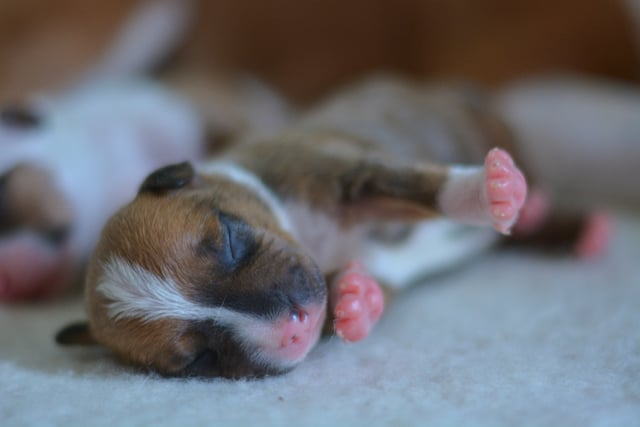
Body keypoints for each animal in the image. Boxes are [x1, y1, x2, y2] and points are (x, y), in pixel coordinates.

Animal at [55, 76, 624, 378]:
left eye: (230, 240)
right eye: (198, 359)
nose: (297, 325)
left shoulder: (347, 174)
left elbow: (420, 187)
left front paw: (490, 192)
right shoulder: (375, 262)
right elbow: (361, 286)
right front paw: (354, 300)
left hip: (481, 120)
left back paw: (539, 205)